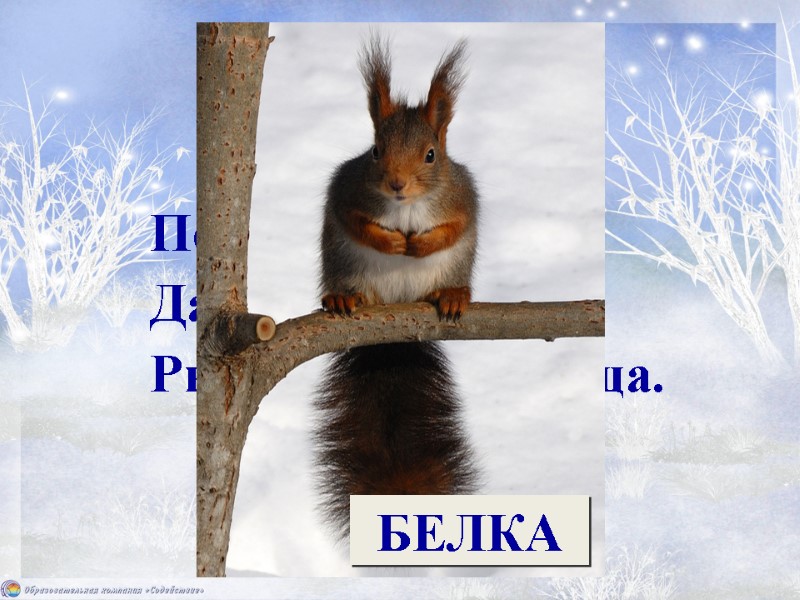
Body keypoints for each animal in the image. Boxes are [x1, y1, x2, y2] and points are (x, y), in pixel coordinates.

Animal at [315, 36, 480, 540]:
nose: (396, 184)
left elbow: (454, 227)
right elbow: (355, 221)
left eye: (431, 155)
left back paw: (452, 295)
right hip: (343, 266)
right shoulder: (345, 190)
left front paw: (420, 243)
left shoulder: (463, 198)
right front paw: (390, 241)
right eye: (374, 151)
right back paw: (344, 296)